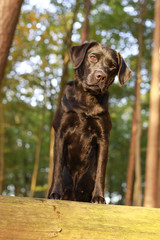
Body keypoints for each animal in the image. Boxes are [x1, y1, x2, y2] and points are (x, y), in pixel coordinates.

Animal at [48, 41, 131, 202]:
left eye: (113, 66)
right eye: (92, 57)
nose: (101, 76)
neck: (86, 101)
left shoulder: (103, 138)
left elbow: (101, 172)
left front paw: (99, 197)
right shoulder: (60, 132)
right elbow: (58, 166)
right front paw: (55, 193)